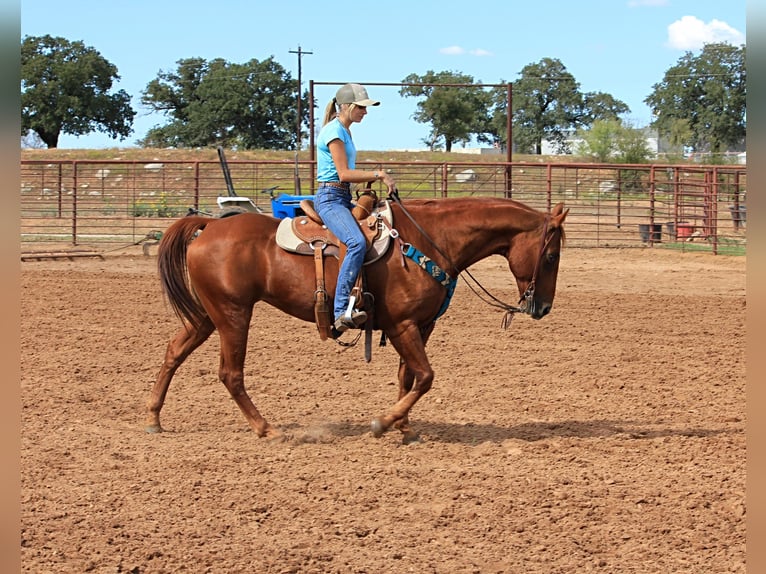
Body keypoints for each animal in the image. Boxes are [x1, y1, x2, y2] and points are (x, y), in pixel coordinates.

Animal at [147, 198, 568, 446]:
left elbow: (408, 376)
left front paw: (404, 427)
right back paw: (266, 428)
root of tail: (209, 226)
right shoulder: (402, 325)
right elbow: (426, 376)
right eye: (551, 256)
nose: (544, 307)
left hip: (208, 315)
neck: (430, 241)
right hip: (234, 313)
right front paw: (383, 423)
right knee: (230, 373)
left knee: (173, 352)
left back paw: (154, 417)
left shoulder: (419, 325)